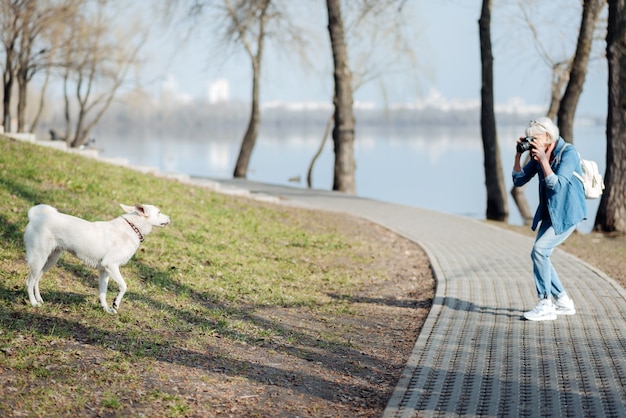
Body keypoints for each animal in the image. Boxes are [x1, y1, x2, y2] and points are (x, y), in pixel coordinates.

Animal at [23, 202, 169, 314]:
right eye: (159, 212)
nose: (170, 218)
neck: (132, 227)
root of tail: (34, 218)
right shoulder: (111, 265)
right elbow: (124, 286)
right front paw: (115, 303)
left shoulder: (104, 271)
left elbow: (103, 292)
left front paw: (106, 309)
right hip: (39, 259)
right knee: (29, 281)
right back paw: (33, 302)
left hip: (50, 259)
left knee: (36, 280)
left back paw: (39, 299)